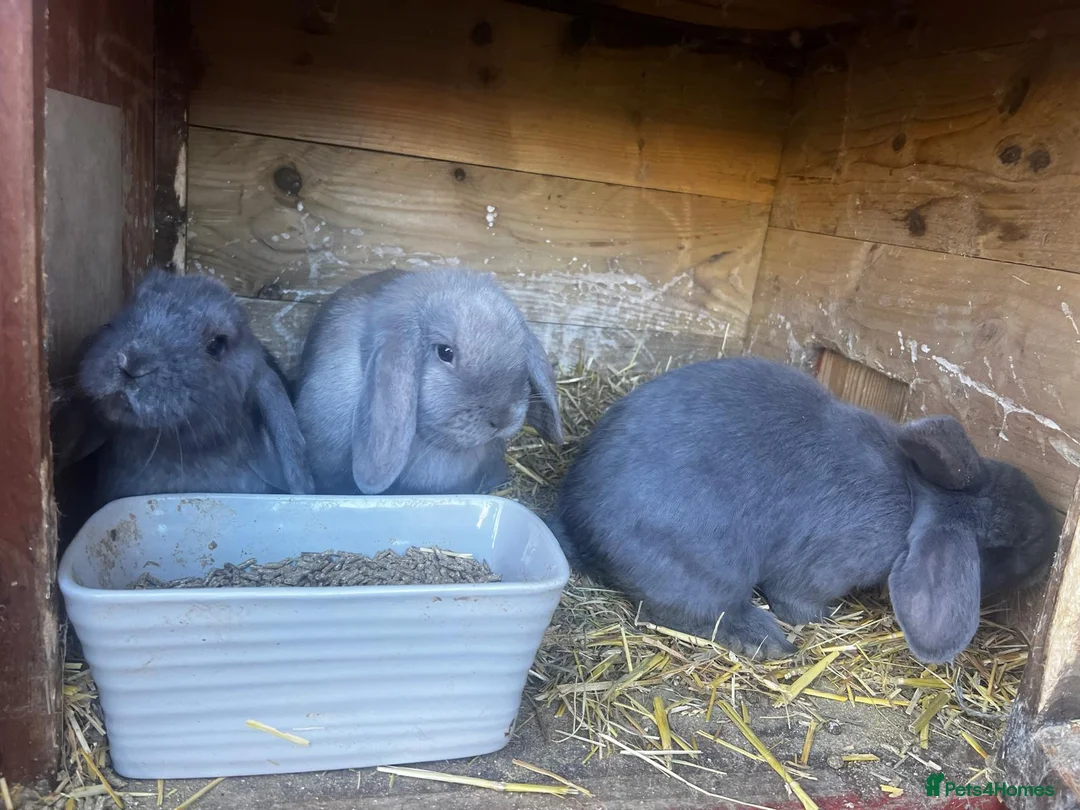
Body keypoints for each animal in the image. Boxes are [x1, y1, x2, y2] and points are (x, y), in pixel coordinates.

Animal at [551, 356, 1060, 664]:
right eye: (1008, 546)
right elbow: (796, 599)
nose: (1055, 536)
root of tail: (575, 519)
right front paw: (823, 620)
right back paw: (766, 640)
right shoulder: (819, 568)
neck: (916, 498)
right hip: (700, 569)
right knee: (690, 610)